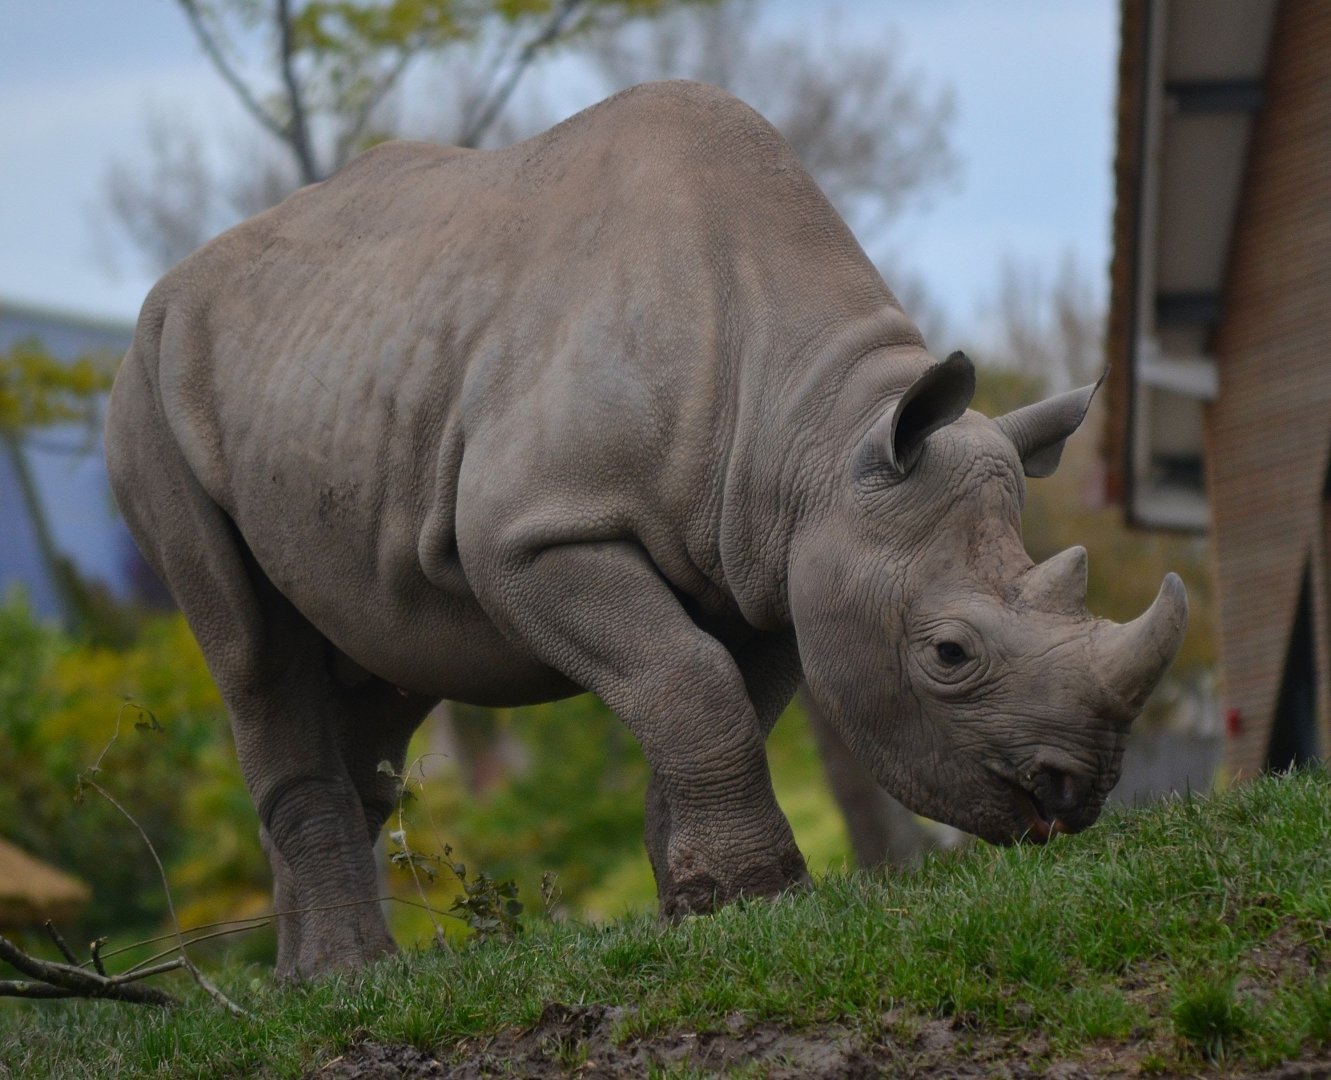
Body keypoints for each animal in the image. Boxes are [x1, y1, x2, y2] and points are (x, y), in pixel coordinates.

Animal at [105, 81, 1187, 979]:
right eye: (948, 653)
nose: (1075, 794)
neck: (820, 430)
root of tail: (168, 290)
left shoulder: (773, 565)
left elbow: (710, 697)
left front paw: (703, 907)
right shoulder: (532, 534)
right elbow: (689, 681)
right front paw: (762, 895)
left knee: (381, 661)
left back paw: (304, 984)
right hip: (147, 387)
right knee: (253, 653)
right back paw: (348, 979)